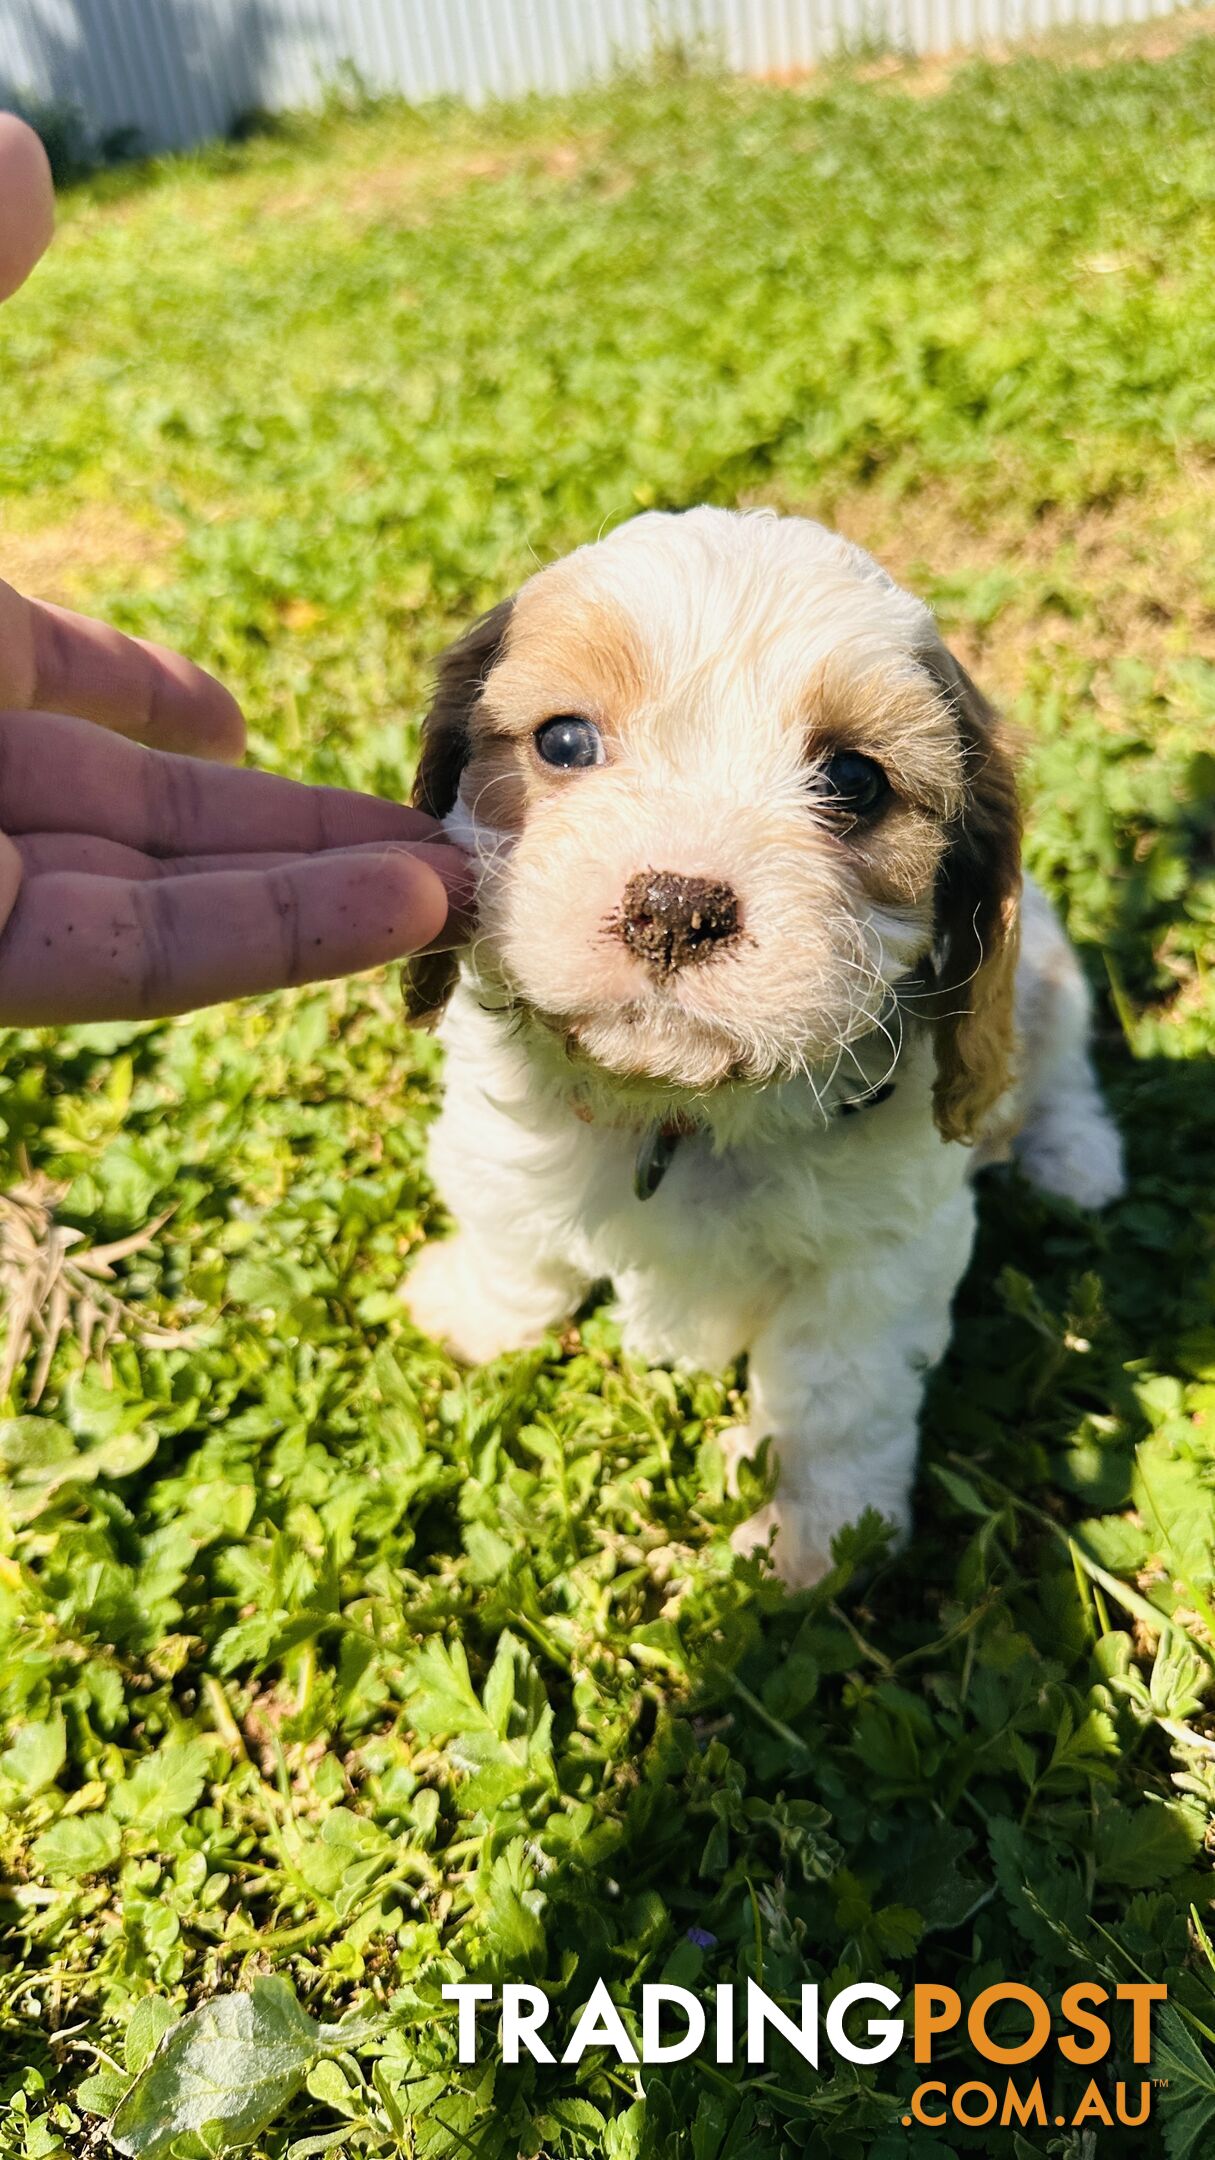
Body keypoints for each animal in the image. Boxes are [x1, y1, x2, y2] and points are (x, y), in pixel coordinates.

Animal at [402, 505, 1124, 1589]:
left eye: (854, 781)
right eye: (564, 741)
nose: (675, 908)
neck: (681, 1109)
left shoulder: (880, 1257)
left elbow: (836, 1399)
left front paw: (812, 1538)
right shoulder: (501, 1142)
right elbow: (510, 1240)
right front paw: (473, 1316)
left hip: (1045, 970)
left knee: (1060, 1065)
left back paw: (1074, 1158)